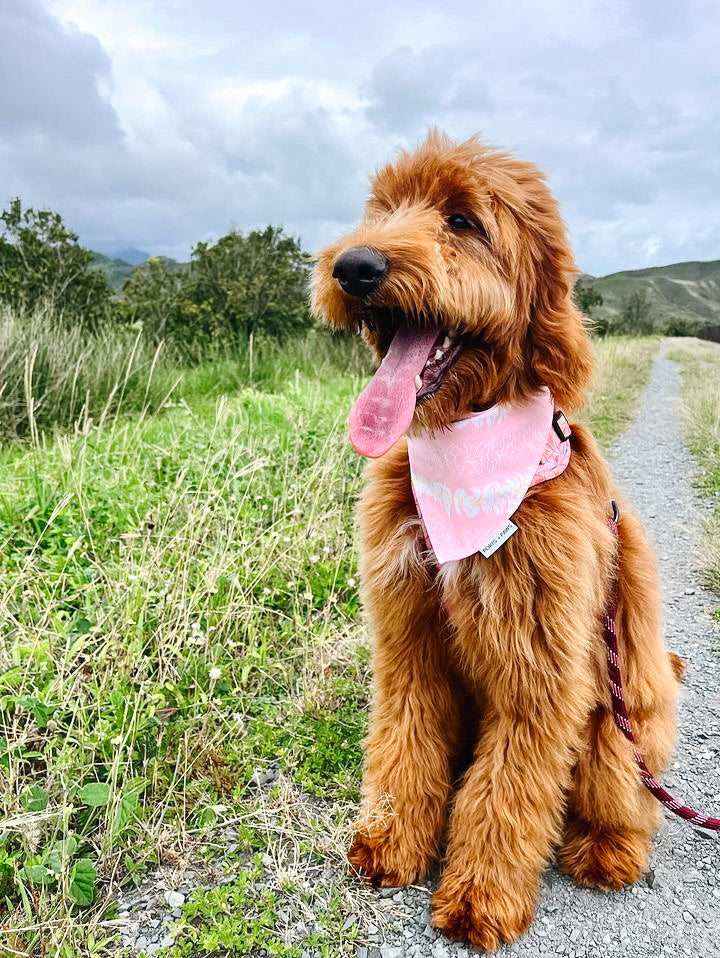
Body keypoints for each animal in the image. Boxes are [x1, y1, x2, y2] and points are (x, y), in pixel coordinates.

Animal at [310, 129, 680, 952]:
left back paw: (607, 851)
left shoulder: (542, 668)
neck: (464, 446)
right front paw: (390, 840)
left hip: (618, 727)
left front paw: (480, 895)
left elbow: (507, 788)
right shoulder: (408, 634)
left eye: (462, 221)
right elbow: (404, 739)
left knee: (631, 804)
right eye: (384, 210)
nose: (355, 267)